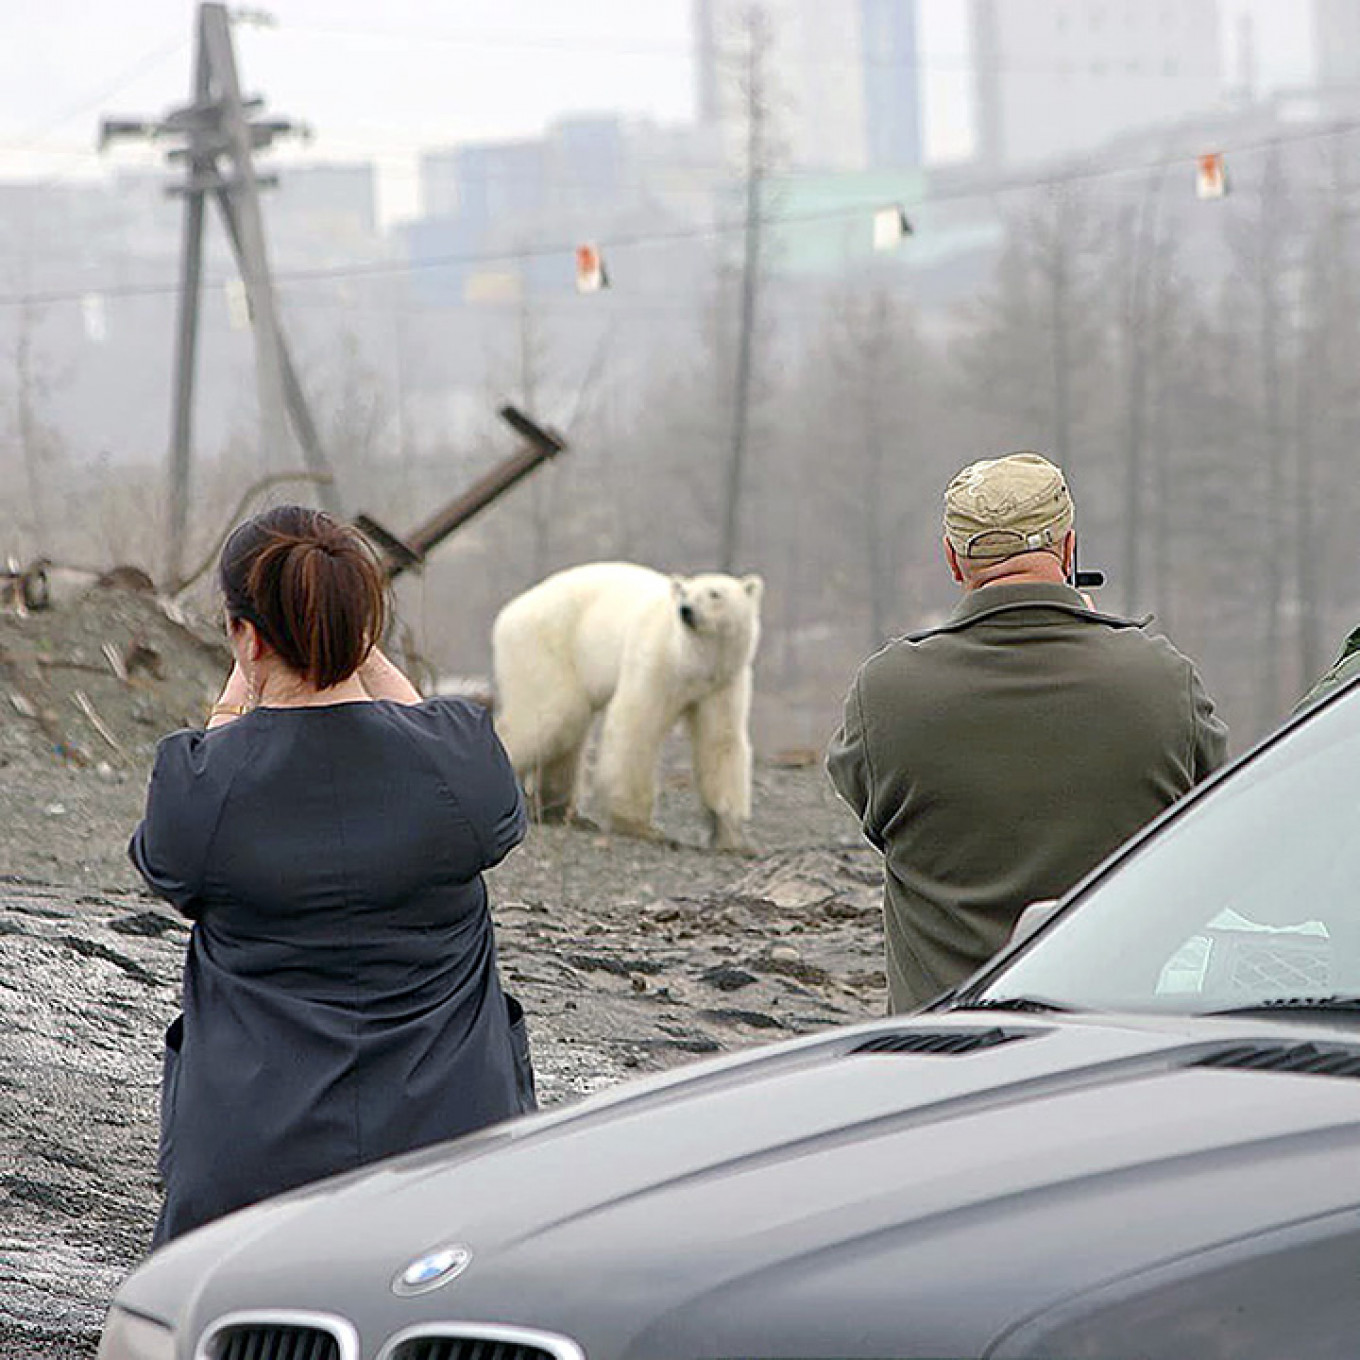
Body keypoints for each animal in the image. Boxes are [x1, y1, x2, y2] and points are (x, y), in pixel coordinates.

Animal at [492, 557, 767, 843]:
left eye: (715, 593)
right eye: (685, 592)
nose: (686, 611)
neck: (692, 661)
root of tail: (508, 613)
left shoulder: (723, 682)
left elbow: (720, 739)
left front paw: (731, 834)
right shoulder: (657, 661)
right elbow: (636, 725)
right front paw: (640, 826)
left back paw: (562, 814)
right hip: (546, 646)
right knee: (553, 713)